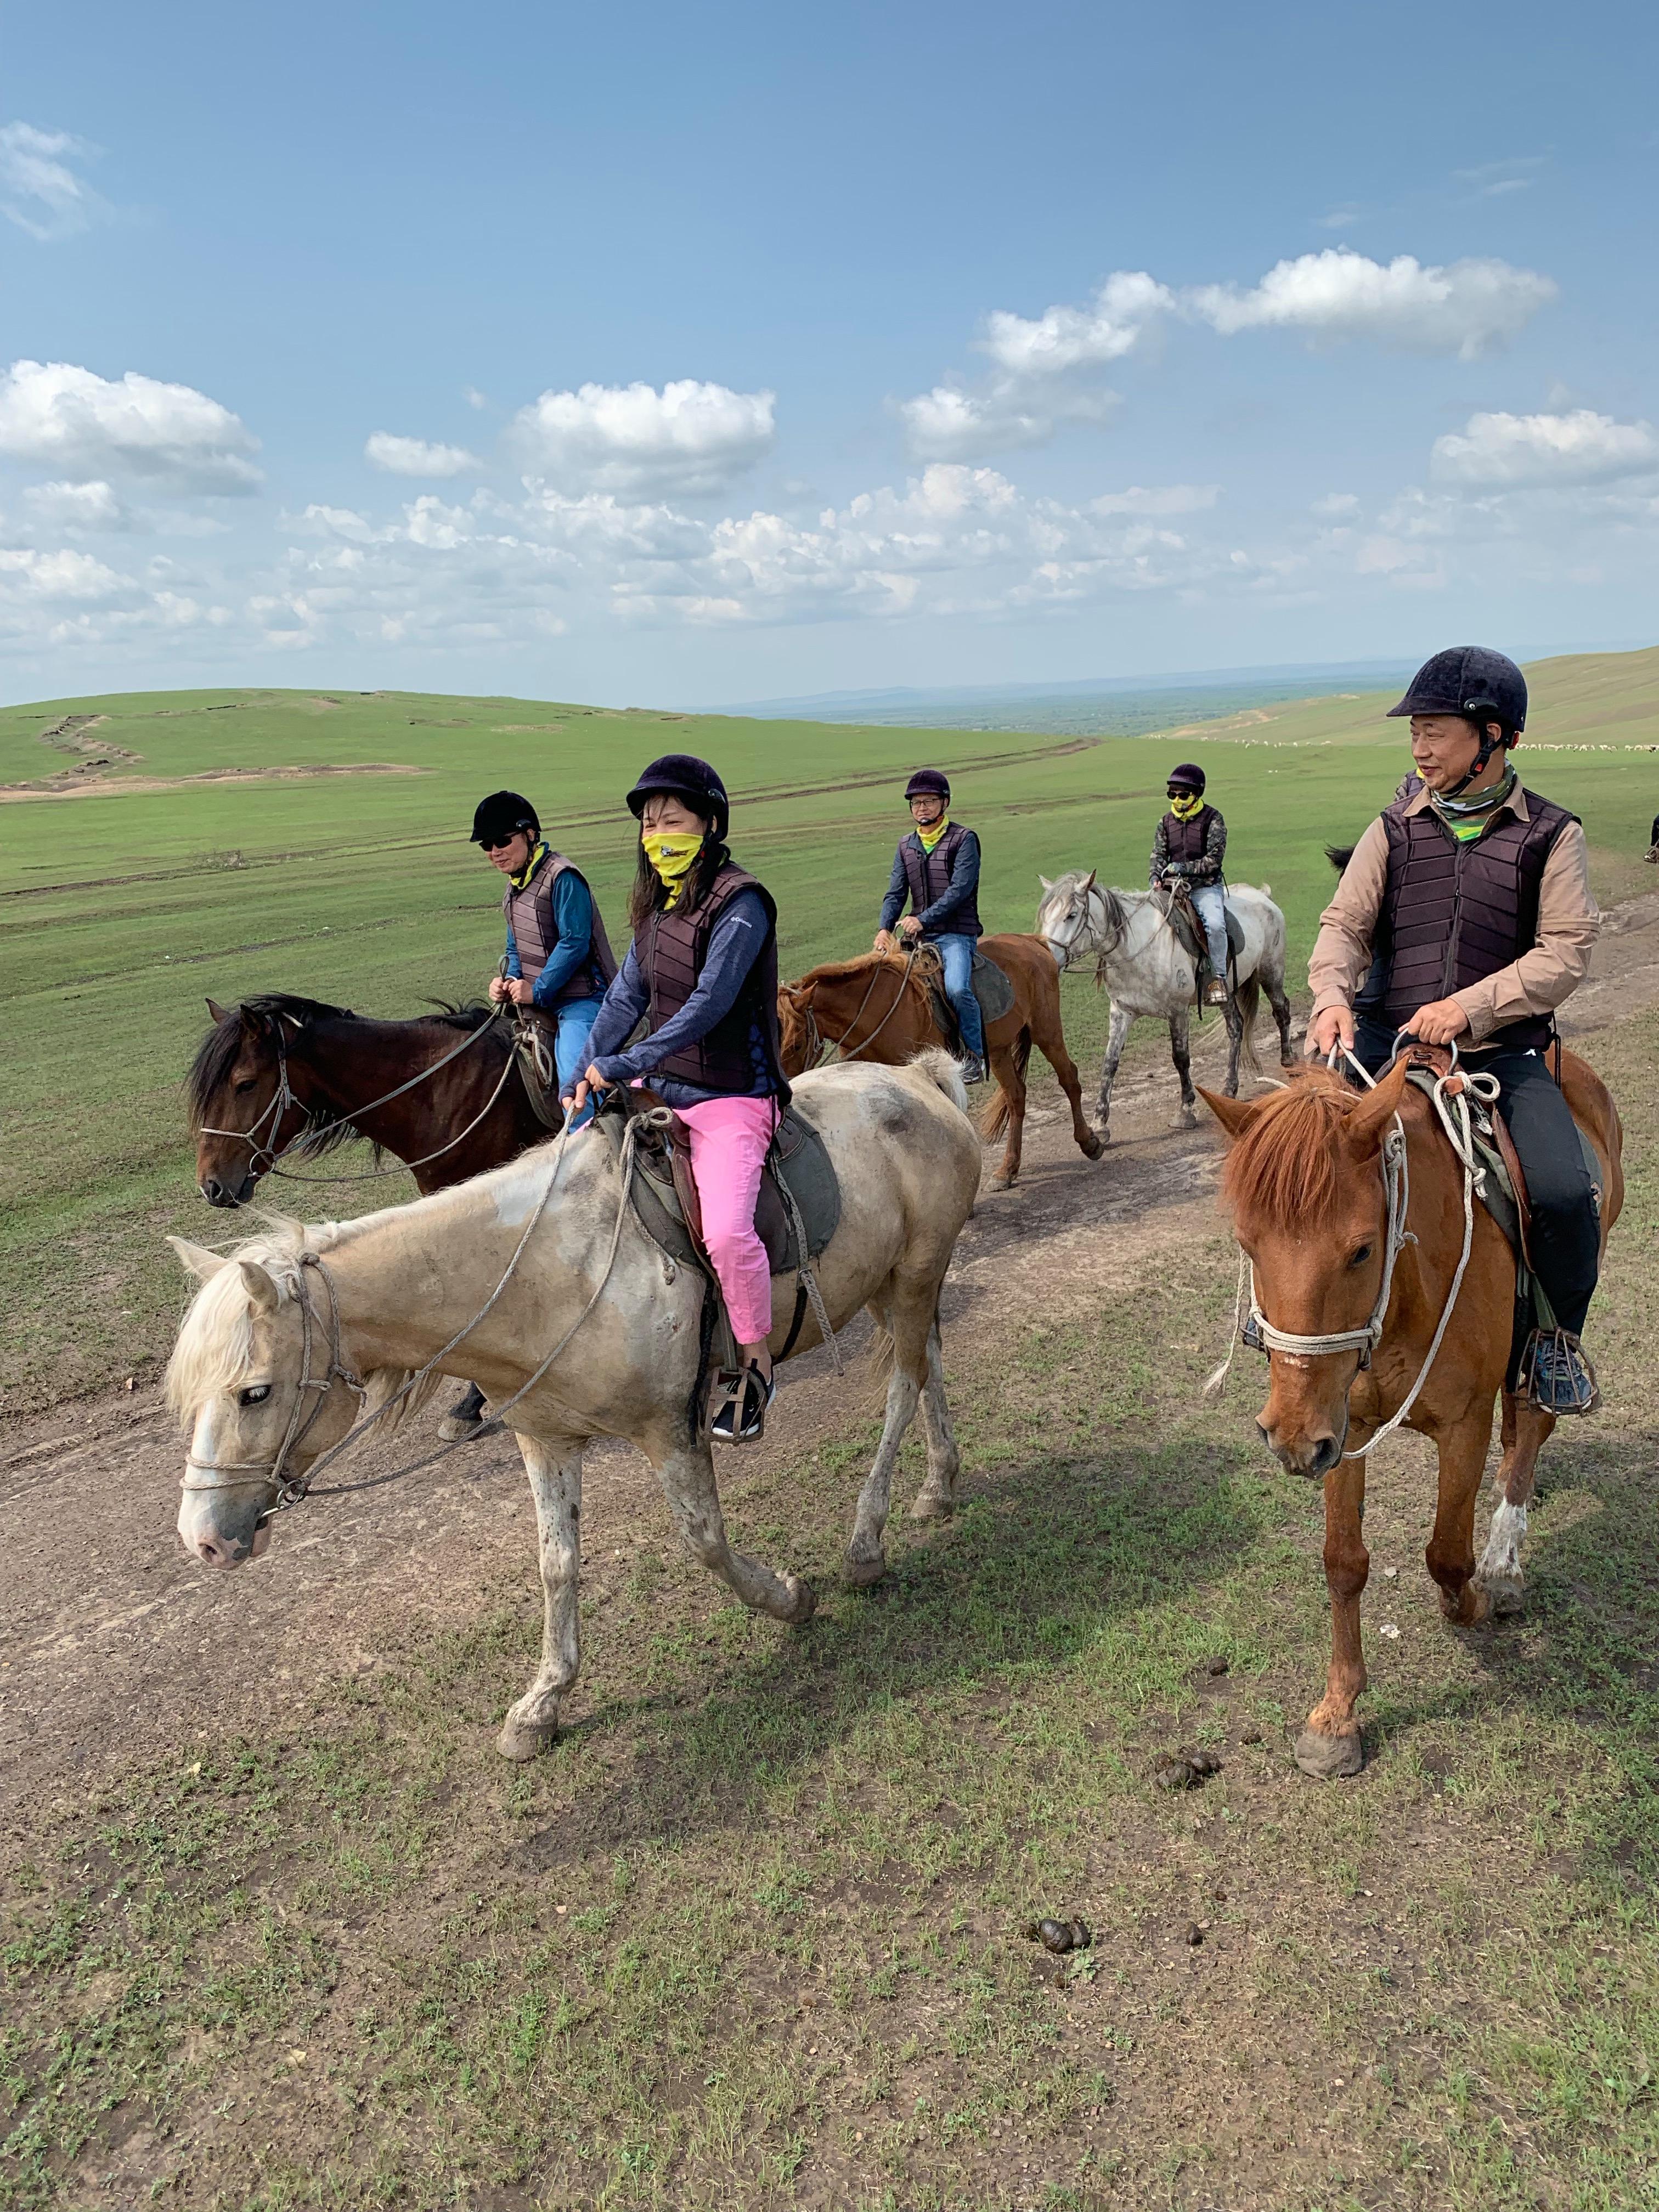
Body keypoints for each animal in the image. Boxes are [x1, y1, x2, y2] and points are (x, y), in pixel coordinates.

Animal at [166, 1053, 986, 1760]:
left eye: (254, 1392)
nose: (202, 1540)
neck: (547, 1269)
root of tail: (917, 1079)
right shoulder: (546, 1440)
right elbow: (555, 1564)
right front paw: (541, 1705)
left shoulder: (672, 1430)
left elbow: (706, 1542)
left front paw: (788, 1597)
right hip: (895, 1285)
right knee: (928, 1364)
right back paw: (938, 1484)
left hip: (914, 1276)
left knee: (902, 1389)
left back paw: (867, 1541)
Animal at [778, 942, 1106, 1203]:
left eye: (795, 1044)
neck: (876, 1011)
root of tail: (1033, 942)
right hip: (1000, 1051)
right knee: (1016, 1097)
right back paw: (1007, 1170)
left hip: (1046, 1030)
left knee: (1069, 1078)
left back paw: (1089, 1142)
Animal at [1040, 867, 1300, 1141]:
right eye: (1046, 915)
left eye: (1071, 915)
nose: (1046, 958)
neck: (1139, 948)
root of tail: (1263, 896)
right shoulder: (1121, 1012)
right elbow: (1110, 1063)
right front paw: (1100, 1124)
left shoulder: (1178, 1012)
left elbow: (1181, 1058)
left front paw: (1185, 1111)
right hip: (1227, 992)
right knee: (1236, 1028)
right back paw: (1229, 1088)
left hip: (1271, 974)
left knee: (1281, 1011)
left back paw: (1288, 1062)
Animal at [1203, 1048, 1628, 1778]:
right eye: (1248, 1245)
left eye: (1360, 1251)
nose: (1289, 1440)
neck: (1408, 1291)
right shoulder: (1340, 1428)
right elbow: (1344, 1562)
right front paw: (1338, 1715)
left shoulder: (1463, 1425)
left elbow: (1447, 1558)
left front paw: (1482, 1595)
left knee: (1533, 1420)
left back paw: (1505, 1559)